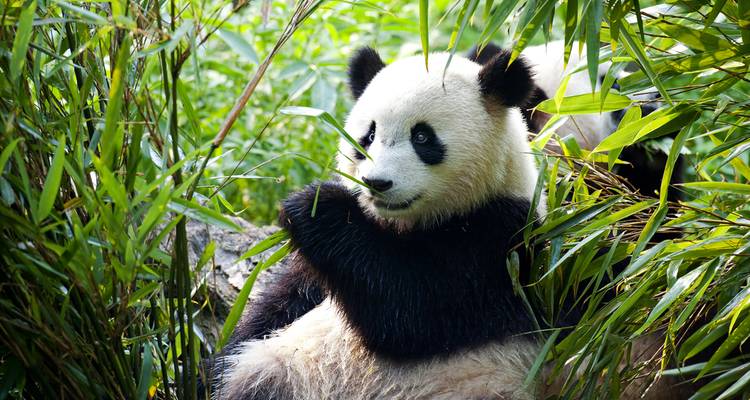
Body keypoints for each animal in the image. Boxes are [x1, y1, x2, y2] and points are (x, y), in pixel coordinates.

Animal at [211, 47, 548, 400]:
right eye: (368, 136)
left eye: (422, 137)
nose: (377, 183)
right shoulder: (316, 279)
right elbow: (278, 307)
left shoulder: (501, 242)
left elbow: (411, 309)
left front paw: (317, 206)